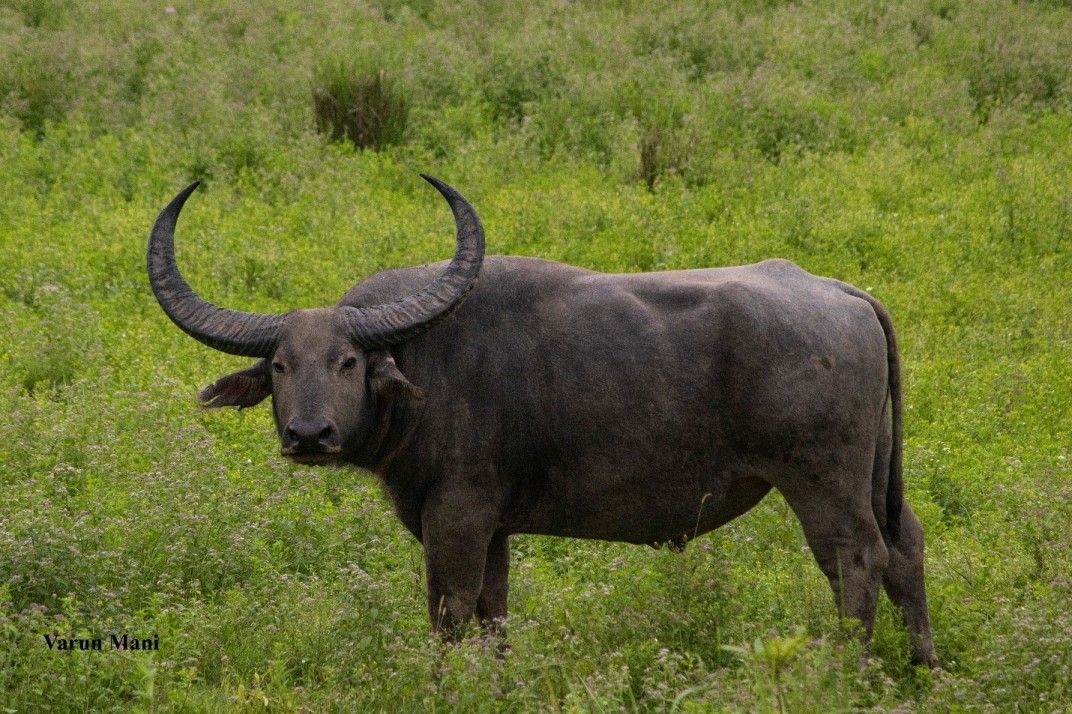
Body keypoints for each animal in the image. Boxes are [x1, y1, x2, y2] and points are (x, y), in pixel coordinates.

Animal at [146, 174, 934, 664]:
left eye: (347, 362)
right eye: (280, 365)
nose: (309, 436)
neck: (426, 361)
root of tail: (840, 291)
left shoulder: (457, 518)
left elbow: (450, 615)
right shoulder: (495, 529)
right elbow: (493, 617)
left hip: (822, 484)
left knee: (856, 562)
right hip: (875, 475)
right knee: (905, 548)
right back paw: (922, 668)